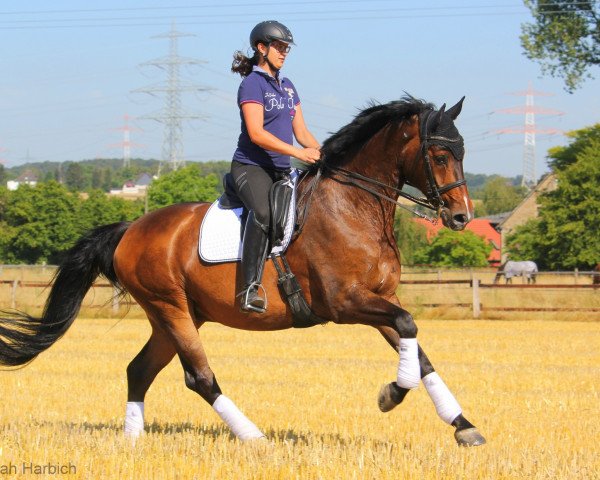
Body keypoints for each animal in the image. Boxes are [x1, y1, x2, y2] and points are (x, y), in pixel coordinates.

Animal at [0, 95, 486, 448]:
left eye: (463, 153)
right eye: (440, 154)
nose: (461, 217)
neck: (355, 206)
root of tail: (130, 229)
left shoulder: (381, 299)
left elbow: (417, 350)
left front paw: (463, 425)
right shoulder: (346, 302)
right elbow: (409, 332)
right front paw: (391, 395)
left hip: (175, 316)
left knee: (139, 370)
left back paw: (132, 440)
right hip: (170, 307)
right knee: (198, 377)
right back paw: (253, 435)